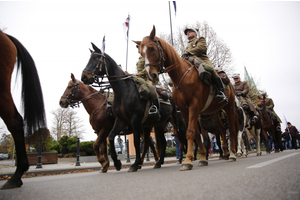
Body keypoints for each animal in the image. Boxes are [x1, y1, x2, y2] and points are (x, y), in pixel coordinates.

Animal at [81, 43, 180, 172]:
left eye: (96, 58)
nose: (84, 77)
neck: (123, 91)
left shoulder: (135, 120)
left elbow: (136, 141)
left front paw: (134, 164)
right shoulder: (120, 121)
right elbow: (111, 137)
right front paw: (117, 163)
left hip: (173, 121)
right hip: (159, 124)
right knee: (162, 142)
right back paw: (159, 162)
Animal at [140, 25, 239, 171]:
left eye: (152, 48)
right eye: (141, 52)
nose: (151, 75)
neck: (181, 77)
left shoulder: (194, 106)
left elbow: (191, 132)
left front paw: (187, 161)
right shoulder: (184, 110)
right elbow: (196, 134)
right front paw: (202, 158)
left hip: (230, 106)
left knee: (231, 129)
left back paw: (232, 154)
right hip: (214, 112)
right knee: (221, 129)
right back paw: (226, 153)